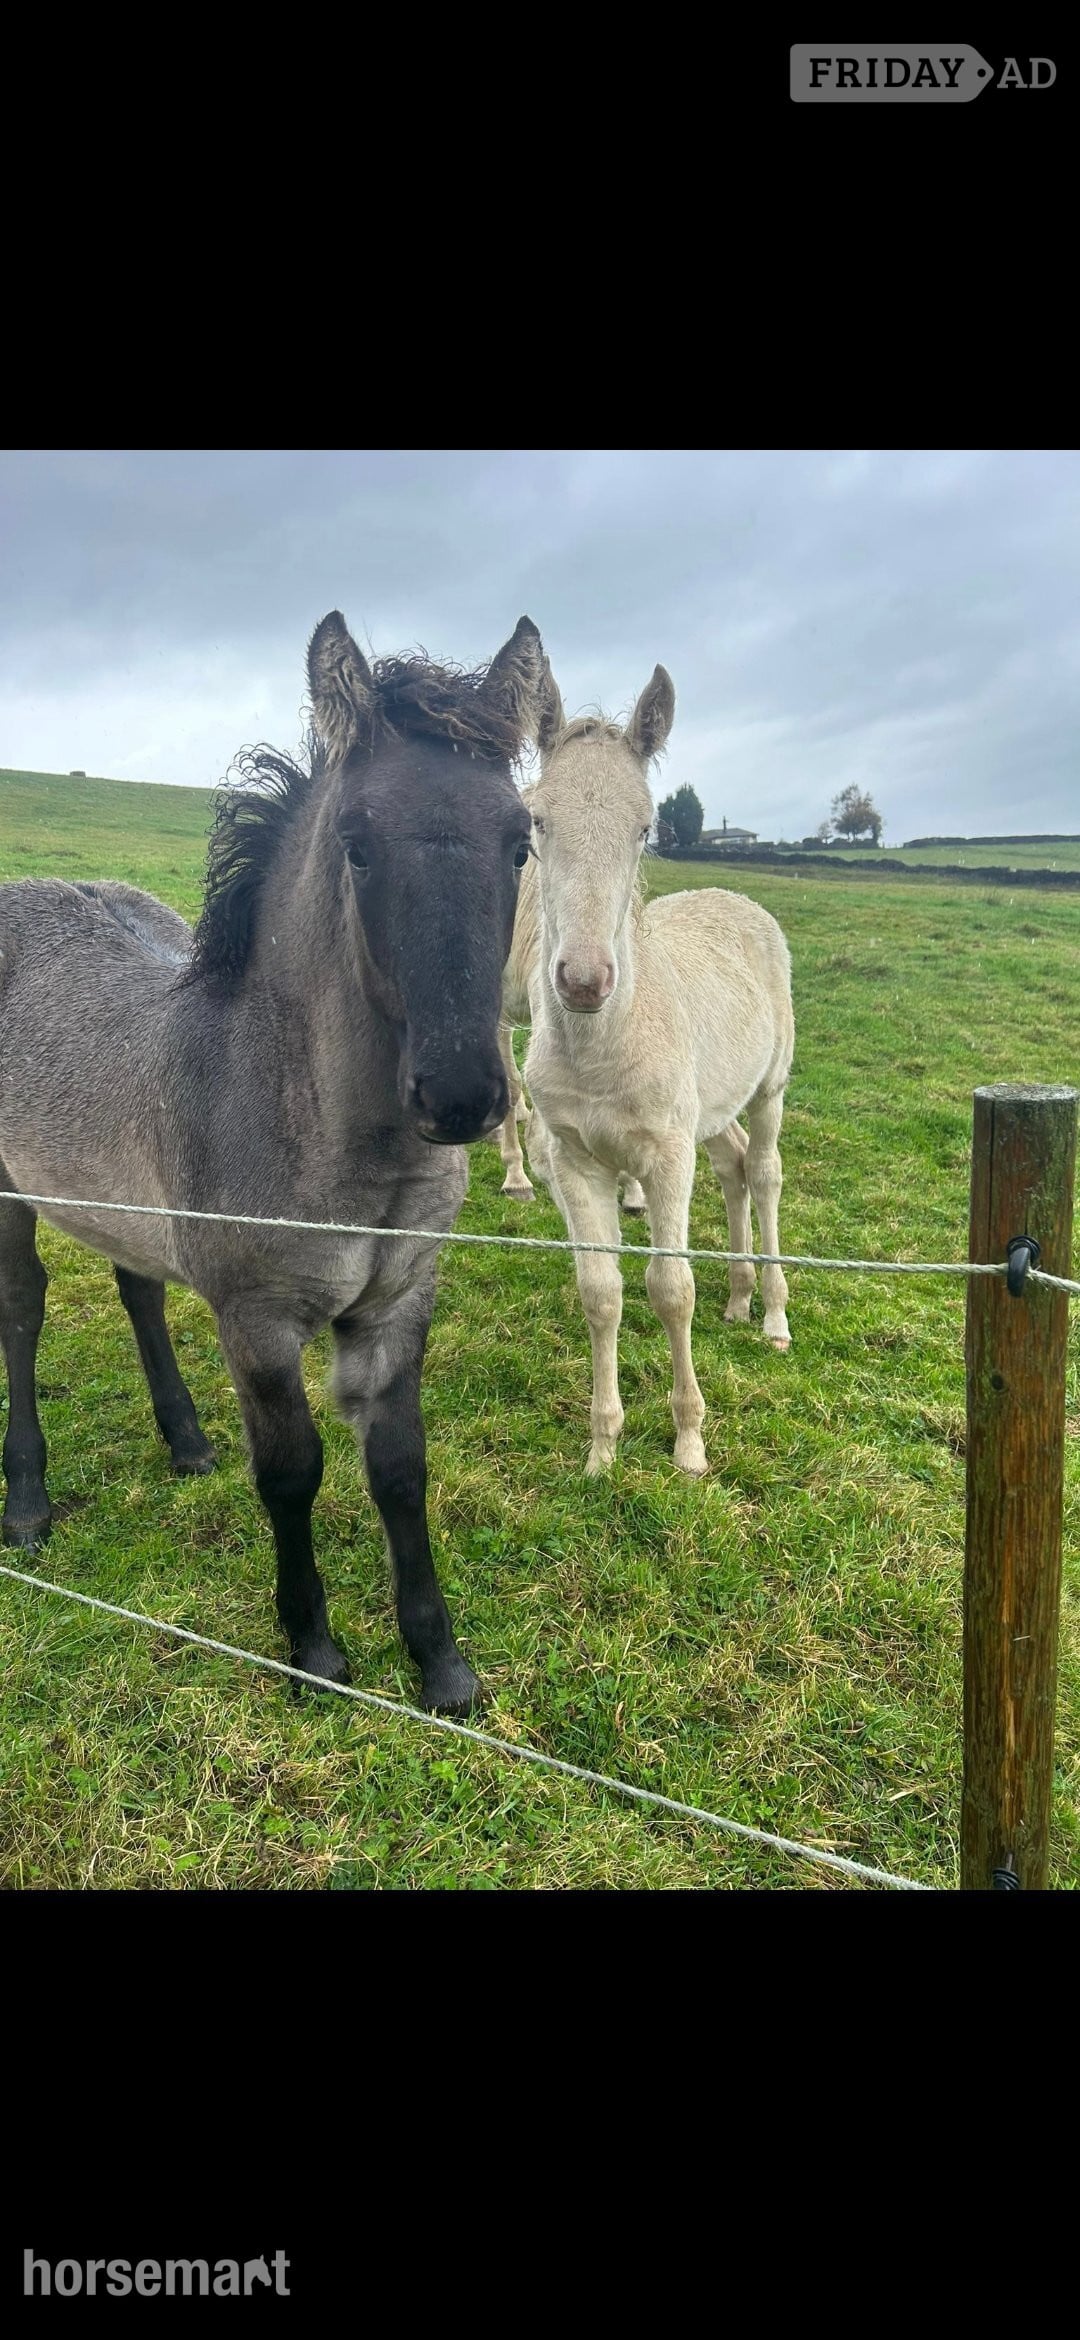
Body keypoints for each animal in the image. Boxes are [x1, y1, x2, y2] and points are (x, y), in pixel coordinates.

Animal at [0, 611, 544, 1713]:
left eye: (520, 842)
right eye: (357, 846)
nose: (462, 1094)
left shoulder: (397, 1304)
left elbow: (400, 1467)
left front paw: (441, 1663)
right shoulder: (256, 1320)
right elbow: (292, 1471)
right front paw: (316, 1650)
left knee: (138, 1289)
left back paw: (185, 1441)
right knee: (21, 1307)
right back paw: (27, 1500)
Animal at [521, 653, 794, 1476]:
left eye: (645, 826)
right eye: (535, 820)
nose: (582, 980)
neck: (604, 1049)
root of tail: (736, 895)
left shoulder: (667, 1155)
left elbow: (671, 1289)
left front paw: (689, 1444)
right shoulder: (576, 1159)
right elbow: (601, 1292)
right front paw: (602, 1449)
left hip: (770, 1087)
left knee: (764, 1171)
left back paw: (773, 1314)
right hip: (710, 1109)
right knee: (732, 1163)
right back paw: (738, 1298)